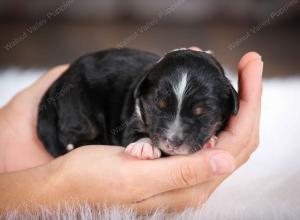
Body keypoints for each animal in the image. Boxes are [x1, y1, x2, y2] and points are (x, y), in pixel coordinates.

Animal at [38, 47, 239, 158]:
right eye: (157, 107)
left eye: (203, 113)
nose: (172, 142)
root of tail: (60, 80)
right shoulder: (131, 119)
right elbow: (134, 133)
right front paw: (145, 146)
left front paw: (209, 140)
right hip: (77, 106)